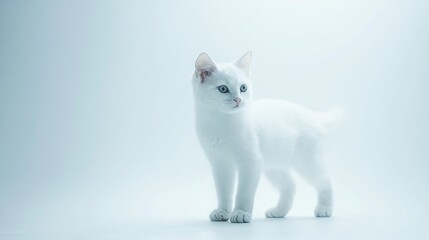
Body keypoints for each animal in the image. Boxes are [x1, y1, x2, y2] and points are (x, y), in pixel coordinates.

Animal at [192, 52, 340, 223]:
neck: (220, 121)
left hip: (307, 162)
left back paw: (325, 208)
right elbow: (223, 191)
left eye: (243, 88)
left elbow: (244, 191)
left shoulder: (250, 161)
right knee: (290, 186)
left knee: (324, 180)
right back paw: (279, 211)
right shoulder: (220, 164)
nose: (238, 100)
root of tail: (311, 115)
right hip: (274, 167)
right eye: (223, 89)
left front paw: (241, 212)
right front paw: (222, 211)